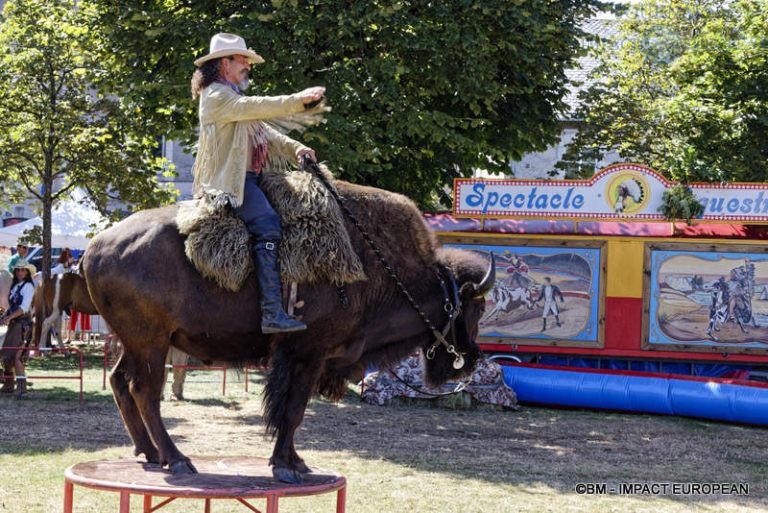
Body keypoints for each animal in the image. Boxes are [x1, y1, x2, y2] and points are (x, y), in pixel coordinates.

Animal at [82, 179, 492, 480]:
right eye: (477, 307)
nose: (471, 359)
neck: (382, 270)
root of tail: (94, 248)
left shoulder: (303, 358)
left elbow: (291, 412)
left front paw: (296, 463)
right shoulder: (309, 353)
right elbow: (292, 410)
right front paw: (286, 467)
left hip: (135, 343)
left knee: (120, 381)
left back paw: (150, 453)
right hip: (151, 343)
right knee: (145, 391)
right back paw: (177, 459)